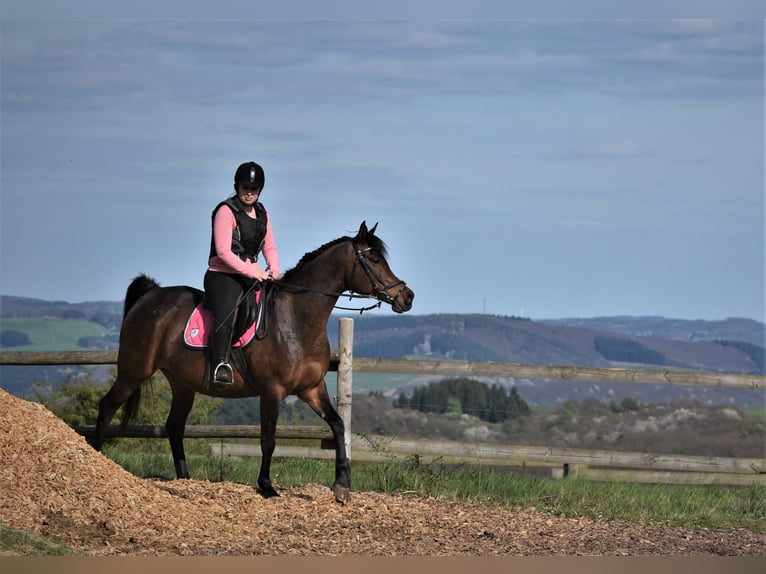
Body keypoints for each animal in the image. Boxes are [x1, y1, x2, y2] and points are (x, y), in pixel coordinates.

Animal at [91, 223, 414, 502]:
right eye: (374, 259)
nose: (407, 297)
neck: (297, 319)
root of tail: (151, 295)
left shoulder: (311, 388)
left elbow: (337, 427)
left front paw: (342, 485)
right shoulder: (272, 390)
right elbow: (268, 439)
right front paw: (267, 486)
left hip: (182, 383)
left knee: (174, 426)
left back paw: (185, 478)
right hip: (134, 371)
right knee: (107, 406)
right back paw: (95, 455)